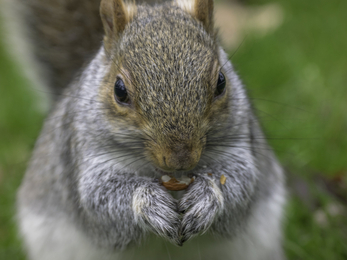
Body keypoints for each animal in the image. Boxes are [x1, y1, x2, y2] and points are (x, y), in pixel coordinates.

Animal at [11, 0, 288, 258]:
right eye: (119, 90)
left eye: (221, 82)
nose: (180, 159)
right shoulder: (84, 155)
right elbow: (99, 200)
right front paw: (148, 203)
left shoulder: (239, 142)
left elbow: (241, 182)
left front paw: (207, 196)